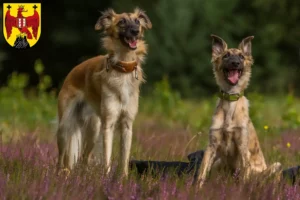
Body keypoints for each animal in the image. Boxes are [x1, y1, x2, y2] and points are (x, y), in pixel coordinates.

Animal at [56, 8, 151, 177]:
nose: (135, 31)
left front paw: (122, 179)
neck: (123, 70)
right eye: (121, 22)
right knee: (61, 159)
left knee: (84, 158)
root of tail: (73, 71)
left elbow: (124, 159)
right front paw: (106, 178)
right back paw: (60, 175)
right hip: (65, 127)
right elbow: (107, 157)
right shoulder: (109, 124)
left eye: (137, 21)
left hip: (94, 128)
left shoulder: (127, 125)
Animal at [197, 35, 282, 188]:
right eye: (226, 56)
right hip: (218, 163)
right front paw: (196, 190)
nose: (235, 63)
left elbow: (244, 177)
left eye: (242, 57)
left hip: (276, 166)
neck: (231, 102)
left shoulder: (243, 147)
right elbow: (202, 173)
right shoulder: (211, 146)